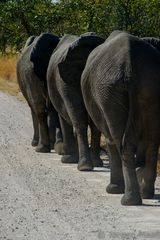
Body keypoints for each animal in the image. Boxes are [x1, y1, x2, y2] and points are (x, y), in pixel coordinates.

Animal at [81, 30, 160, 205]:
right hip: (148, 84)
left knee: (121, 141)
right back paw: (145, 193)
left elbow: (110, 139)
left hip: (108, 91)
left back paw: (129, 199)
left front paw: (113, 190)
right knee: (152, 140)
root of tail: (129, 63)